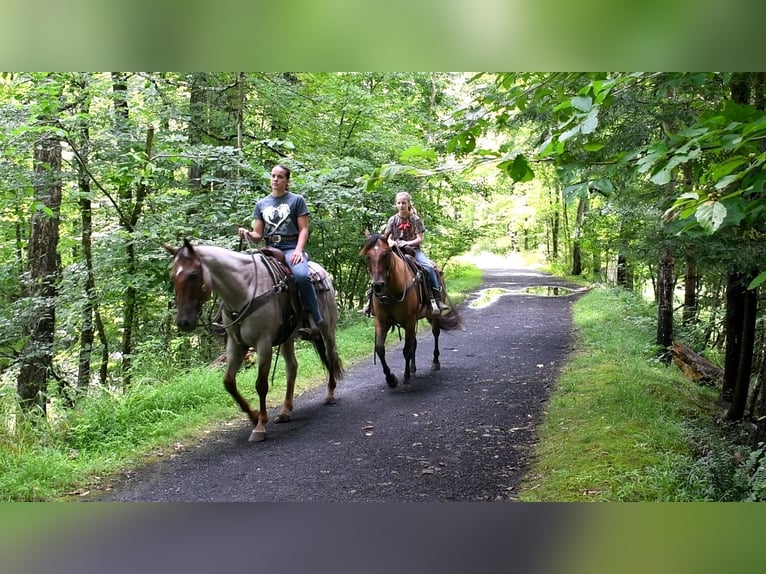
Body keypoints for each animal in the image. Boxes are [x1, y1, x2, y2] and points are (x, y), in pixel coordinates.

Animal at [166, 241, 344, 444]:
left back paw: (329, 394)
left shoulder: (263, 343)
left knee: (330, 355)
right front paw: (254, 416)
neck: (244, 290)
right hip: (288, 337)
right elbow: (229, 382)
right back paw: (285, 411)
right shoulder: (236, 345)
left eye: (193, 274)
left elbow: (261, 384)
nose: (183, 322)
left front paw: (260, 426)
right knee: (292, 367)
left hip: (327, 328)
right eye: (173, 275)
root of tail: (322, 272)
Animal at [362, 232, 462, 390]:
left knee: (435, 333)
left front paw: (406, 377)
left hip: (433, 316)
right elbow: (380, 349)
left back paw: (435, 362)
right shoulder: (381, 322)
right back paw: (413, 369)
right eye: (368, 256)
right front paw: (391, 379)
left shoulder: (409, 321)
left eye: (386, 254)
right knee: (414, 342)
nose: (377, 285)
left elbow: (406, 349)